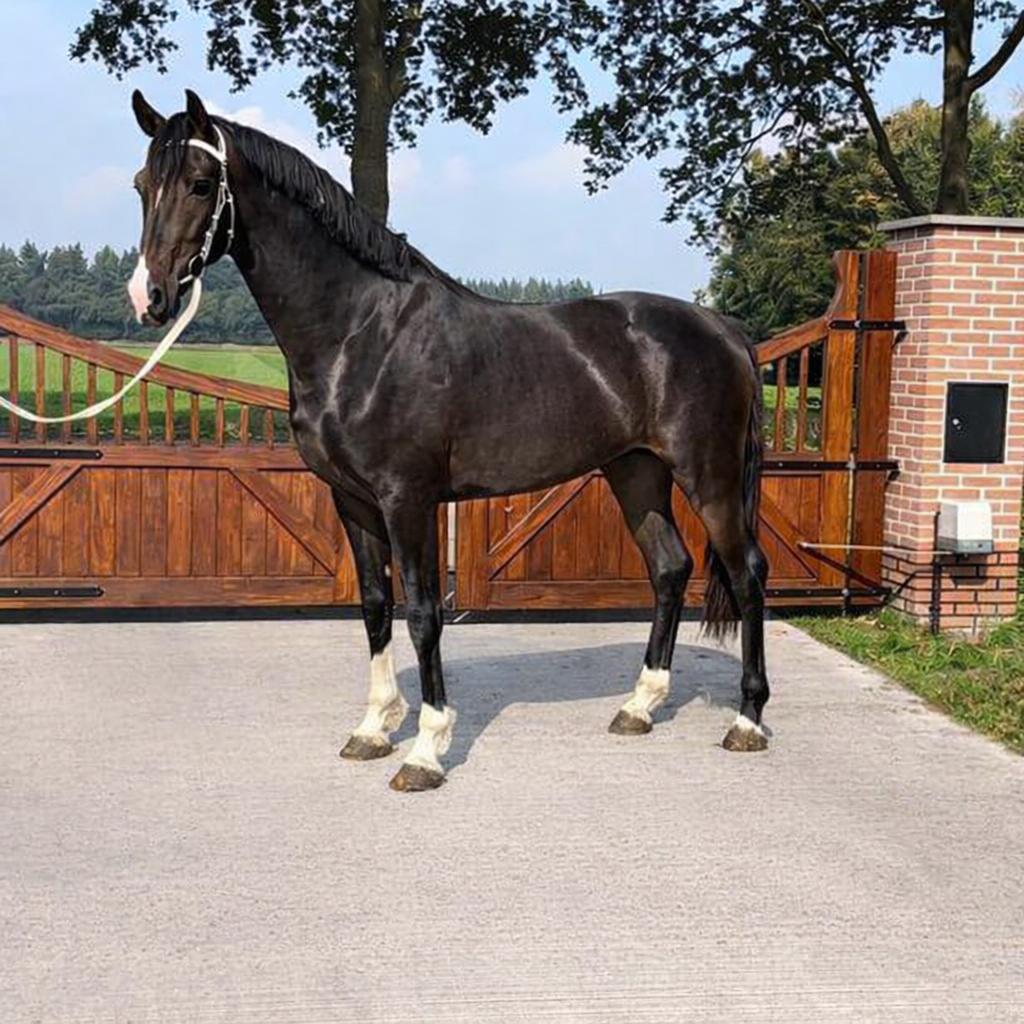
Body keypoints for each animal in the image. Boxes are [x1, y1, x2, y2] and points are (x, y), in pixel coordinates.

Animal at [128, 89, 770, 792]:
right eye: (141, 186)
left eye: (200, 183)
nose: (149, 296)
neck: (361, 332)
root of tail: (721, 327)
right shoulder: (352, 500)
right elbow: (375, 605)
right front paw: (373, 729)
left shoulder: (407, 498)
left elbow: (422, 612)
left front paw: (425, 751)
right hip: (635, 472)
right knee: (669, 568)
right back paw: (639, 707)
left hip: (707, 478)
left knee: (747, 573)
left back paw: (747, 720)